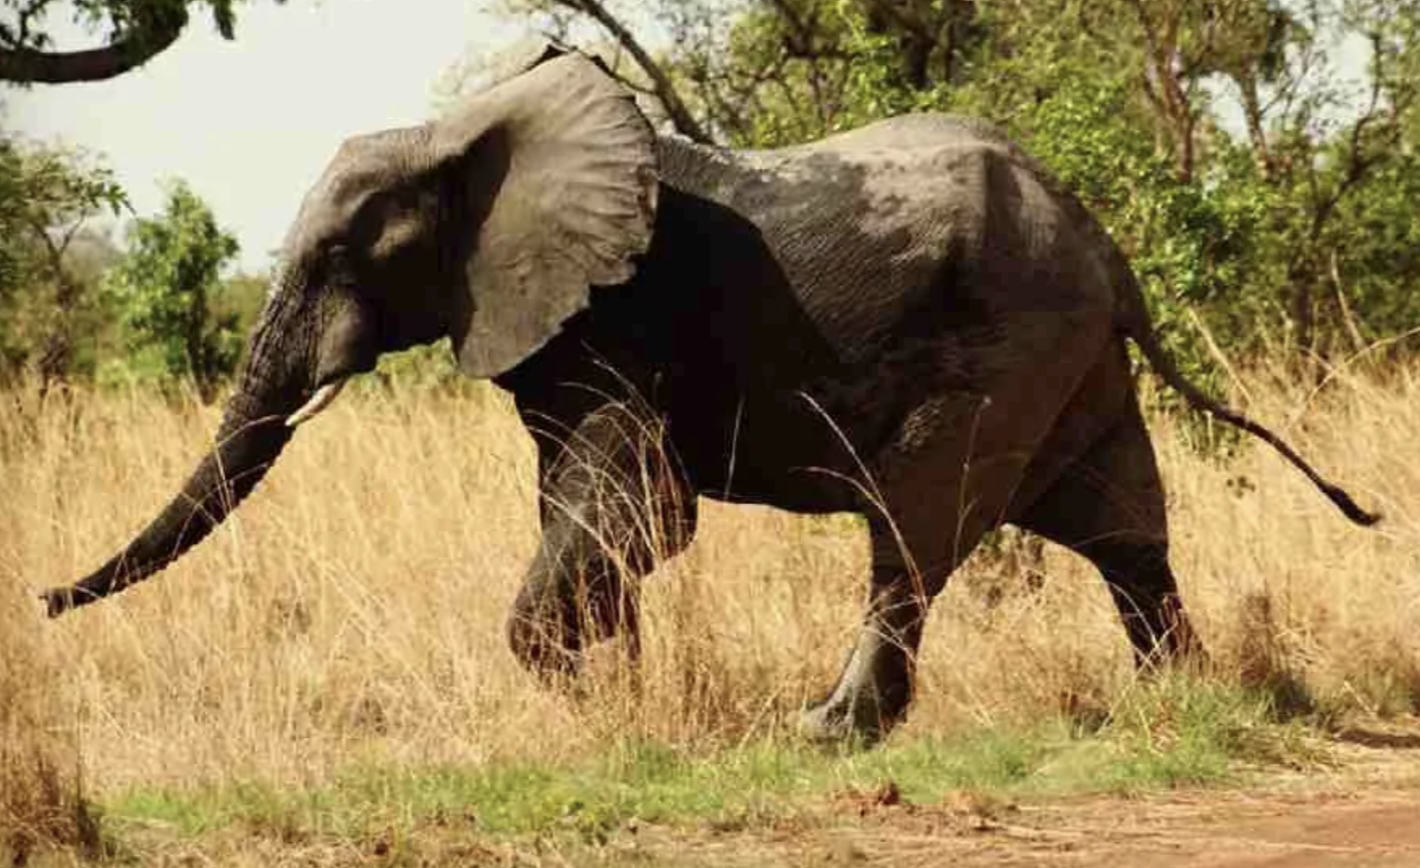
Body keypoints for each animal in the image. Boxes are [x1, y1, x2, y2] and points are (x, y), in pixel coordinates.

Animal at [41, 44, 1374, 744]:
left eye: (337, 257)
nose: (41, 601)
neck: (462, 133)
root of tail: (1107, 247)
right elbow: (586, 512)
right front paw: (621, 690)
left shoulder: (618, 312)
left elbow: (636, 503)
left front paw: (588, 691)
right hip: (1075, 360)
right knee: (1123, 528)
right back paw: (1179, 703)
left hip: (1009, 345)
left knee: (913, 529)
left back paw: (829, 731)